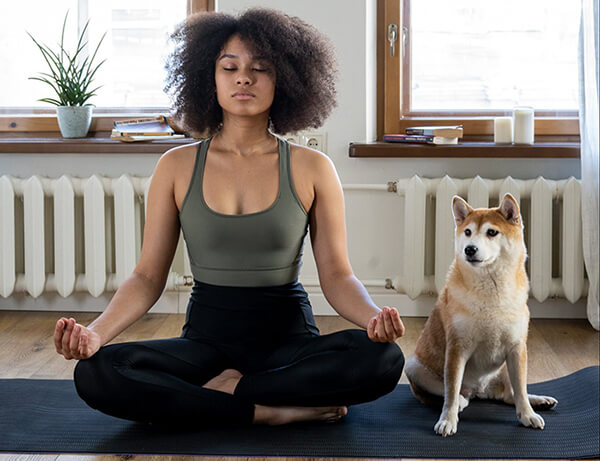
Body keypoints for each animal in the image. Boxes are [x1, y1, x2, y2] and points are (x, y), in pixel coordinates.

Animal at [404, 193, 556, 434]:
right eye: (467, 232)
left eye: (491, 232)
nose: (469, 249)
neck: (491, 291)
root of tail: (480, 391)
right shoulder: (457, 348)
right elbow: (450, 392)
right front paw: (448, 420)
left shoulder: (516, 348)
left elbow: (520, 391)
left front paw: (528, 415)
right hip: (414, 366)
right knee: (452, 395)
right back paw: (461, 402)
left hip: (505, 367)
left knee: (510, 395)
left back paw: (539, 400)